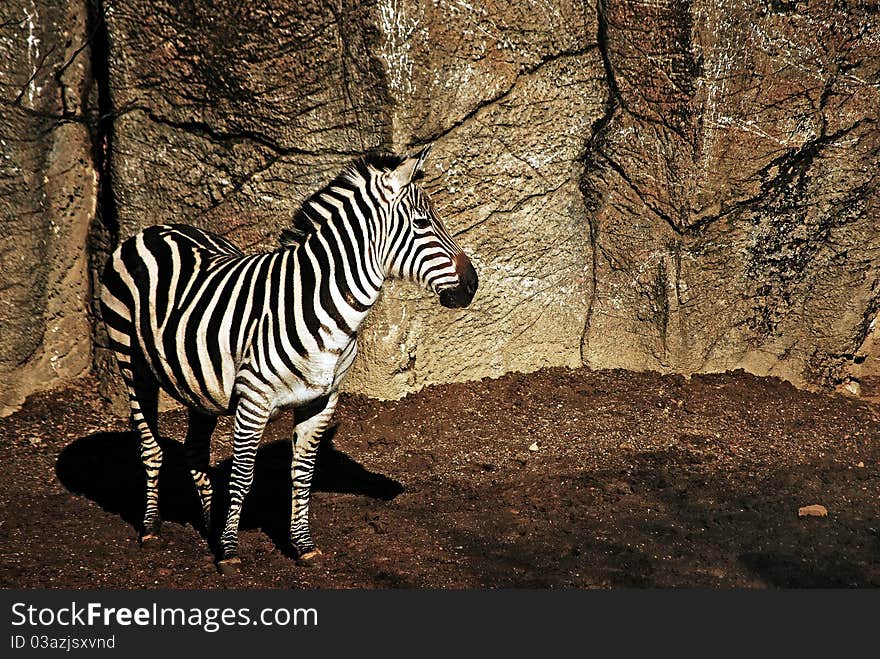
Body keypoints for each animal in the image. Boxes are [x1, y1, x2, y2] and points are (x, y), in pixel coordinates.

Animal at [99, 147, 478, 576]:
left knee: (194, 450)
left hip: (198, 383)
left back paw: (209, 525)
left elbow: (303, 473)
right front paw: (229, 552)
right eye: (422, 223)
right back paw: (151, 528)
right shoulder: (253, 401)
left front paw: (302, 545)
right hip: (131, 360)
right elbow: (243, 476)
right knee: (150, 448)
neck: (321, 305)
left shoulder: (321, 400)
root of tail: (153, 229)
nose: (473, 284)